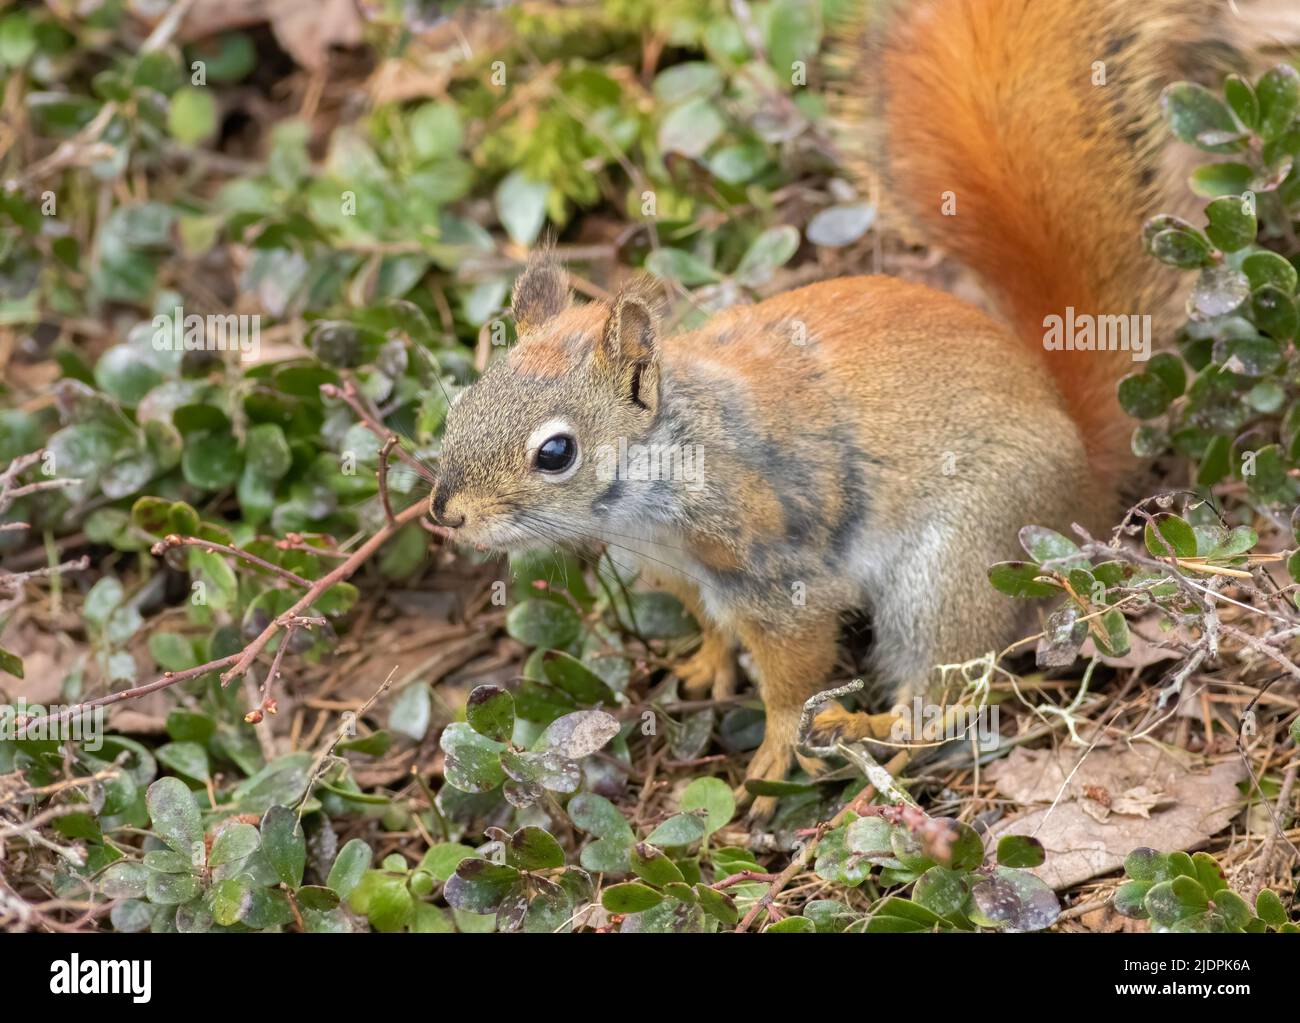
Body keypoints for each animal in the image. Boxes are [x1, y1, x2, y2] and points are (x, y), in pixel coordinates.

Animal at [430, 0, 1210, 818]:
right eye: (463, 402)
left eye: (556, 452)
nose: (446, 514)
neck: (666, 467)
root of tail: (1084, 466)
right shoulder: (677, 570)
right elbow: (709, 620)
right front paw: (707, 659)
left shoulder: (779, 569)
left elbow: (793, 668)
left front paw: (774, 751)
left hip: (960, 564)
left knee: (950, 692)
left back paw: (871, 725)